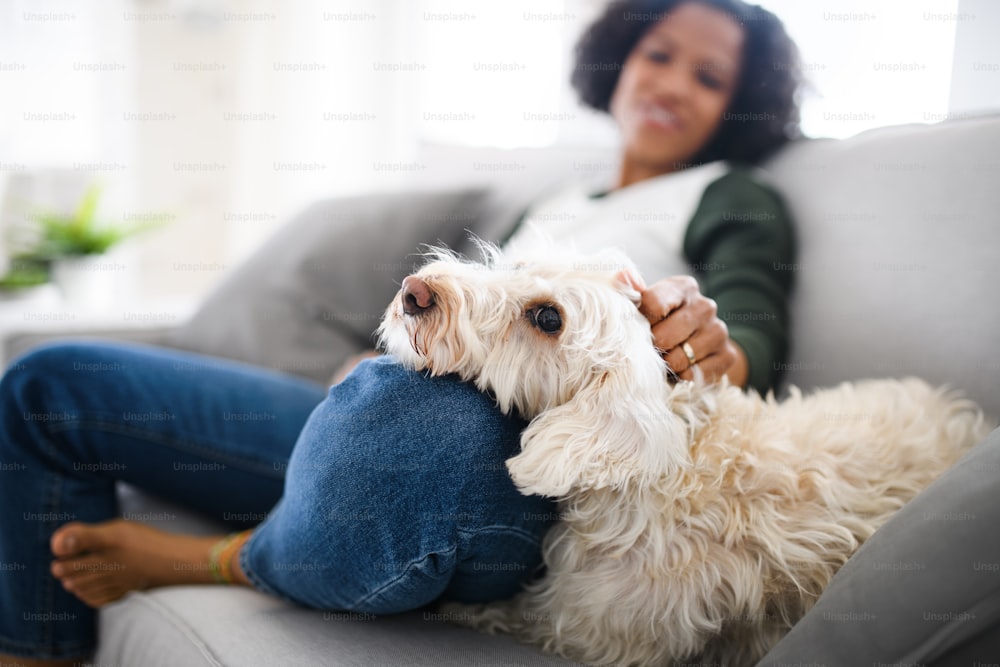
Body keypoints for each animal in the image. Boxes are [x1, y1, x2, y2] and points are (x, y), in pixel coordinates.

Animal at [376, 247, 992, 667]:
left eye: (548, 318)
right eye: (519, 265)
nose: (414, 290)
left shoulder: (588, 631)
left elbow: (498, 613)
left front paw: (451, 610)